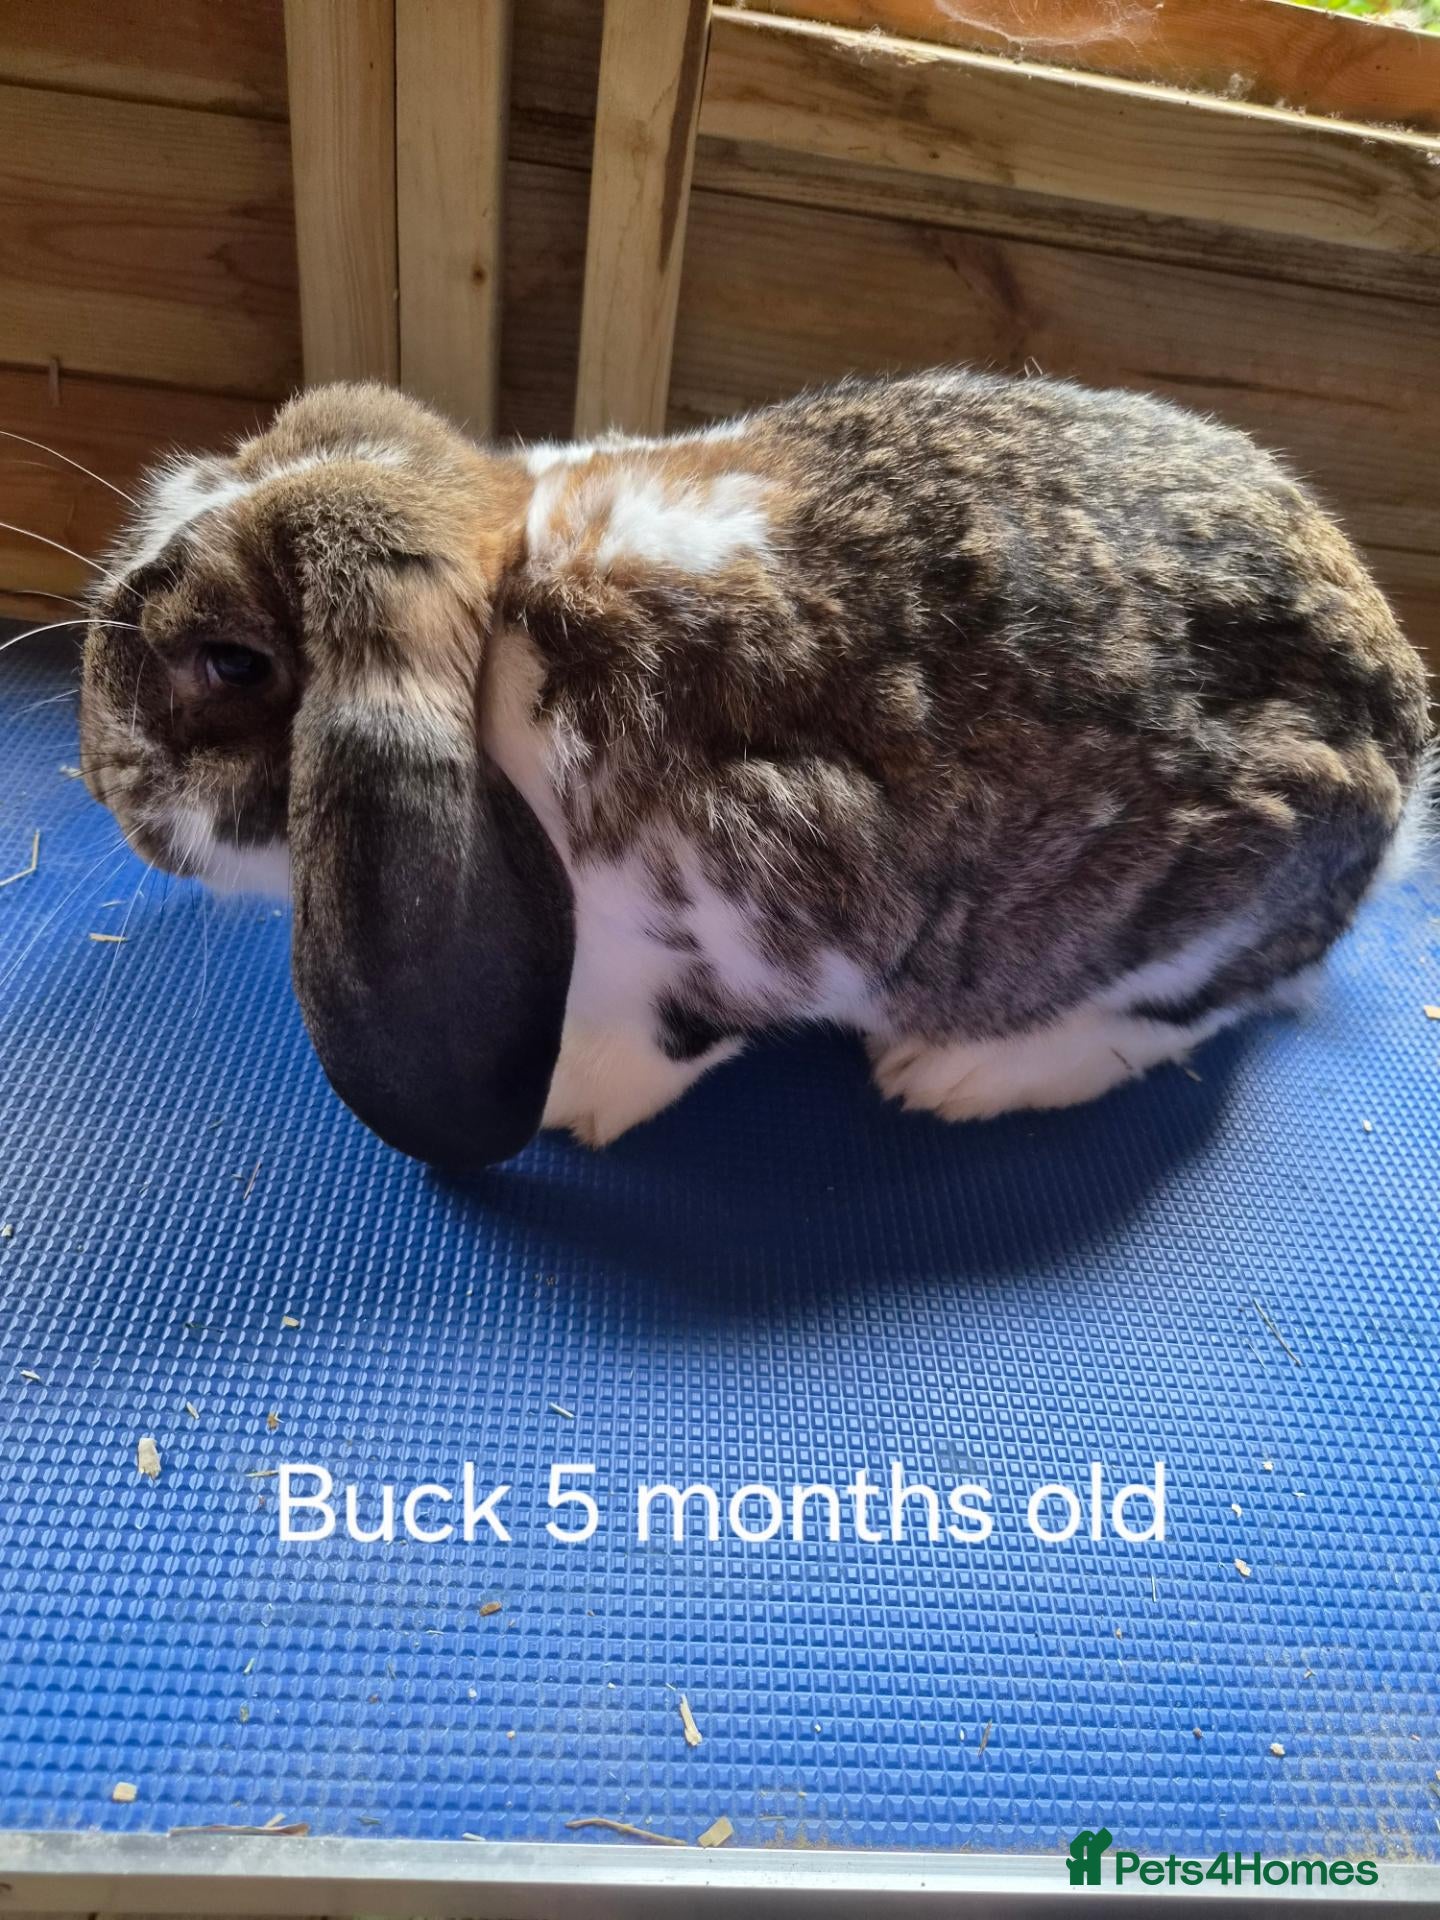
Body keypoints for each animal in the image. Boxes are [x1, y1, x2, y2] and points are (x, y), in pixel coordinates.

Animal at [79, 370, 1430, 1169]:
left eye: (231, 662)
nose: (99, 782)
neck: (512, 623)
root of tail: (1402, 745)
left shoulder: (760, 907)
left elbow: (678, 1032)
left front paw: (571, 1099)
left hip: (1199, 912)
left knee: (1193, 1010)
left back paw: (957, 1076)